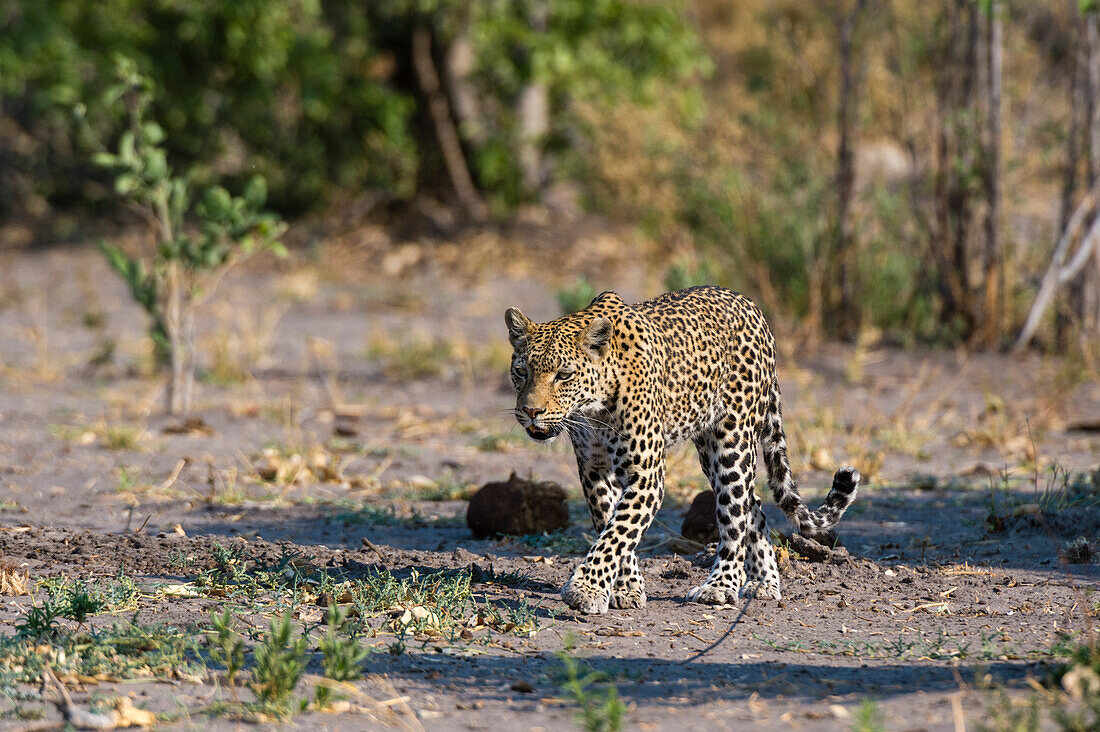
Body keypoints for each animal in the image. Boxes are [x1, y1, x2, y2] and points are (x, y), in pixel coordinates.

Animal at [503, 281, 858, 612]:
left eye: (564, 375)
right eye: (521, 371)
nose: (531, 411)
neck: (593, 410)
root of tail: (752, 306)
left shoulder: (646, 475)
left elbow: (618, 532)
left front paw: (585, 589)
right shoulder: (594, 471)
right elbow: (611, 526)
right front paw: (626, 588)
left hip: (732, 443)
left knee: (735, 515)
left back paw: (721, 585)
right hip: (708, 452)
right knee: (753, 505)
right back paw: (764, 582)